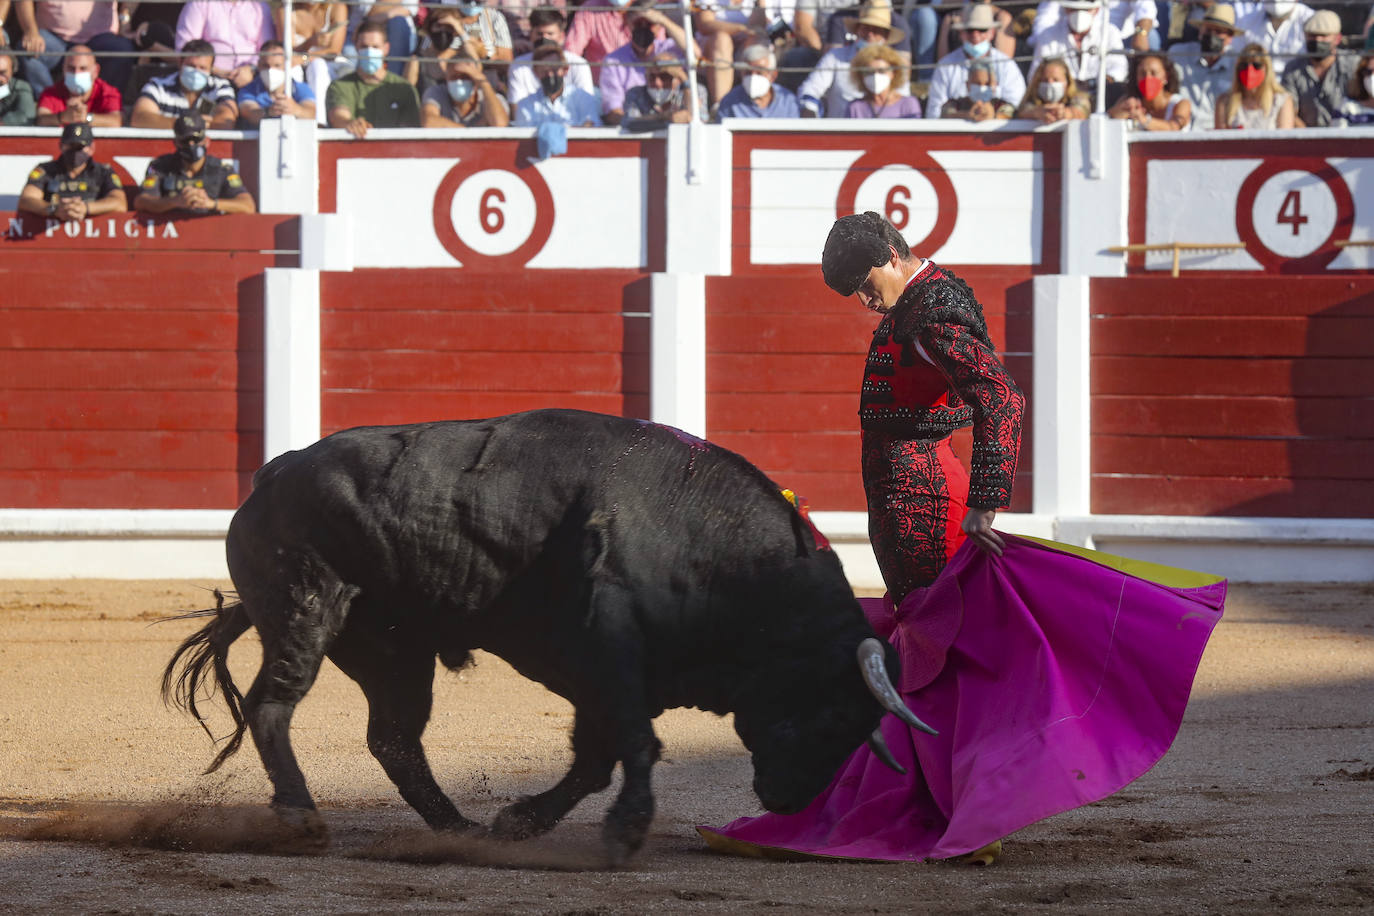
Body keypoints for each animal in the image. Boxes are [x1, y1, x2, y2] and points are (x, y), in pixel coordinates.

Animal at [163, 411, 934, 862]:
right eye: (829, 712)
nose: (786, 801)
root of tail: (269, 475)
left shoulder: (613, 678)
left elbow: (596, 758)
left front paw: (520, 822)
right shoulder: (610, 654)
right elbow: (634, 745)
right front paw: (625, 832)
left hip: (394, 649)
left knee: (394, 737)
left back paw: (460, 830)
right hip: (305, 609)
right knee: (273, 707)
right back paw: (301, 818)